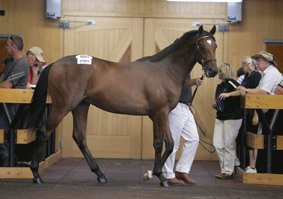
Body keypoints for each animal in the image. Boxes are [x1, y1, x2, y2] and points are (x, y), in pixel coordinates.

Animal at [28, 25, 219, 187]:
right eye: (201, 46)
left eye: (215, 45)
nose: (213, 71)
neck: (164, 71)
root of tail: (55, 64)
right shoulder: (160, 113)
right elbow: (160, 143)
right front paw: (158, 176)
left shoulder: (160, 114)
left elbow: (169, 143)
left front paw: (154, 174)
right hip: (62, 107)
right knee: (44, 132)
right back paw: (36, 175)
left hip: (80, 106)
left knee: (80, 137)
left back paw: (100, 174)